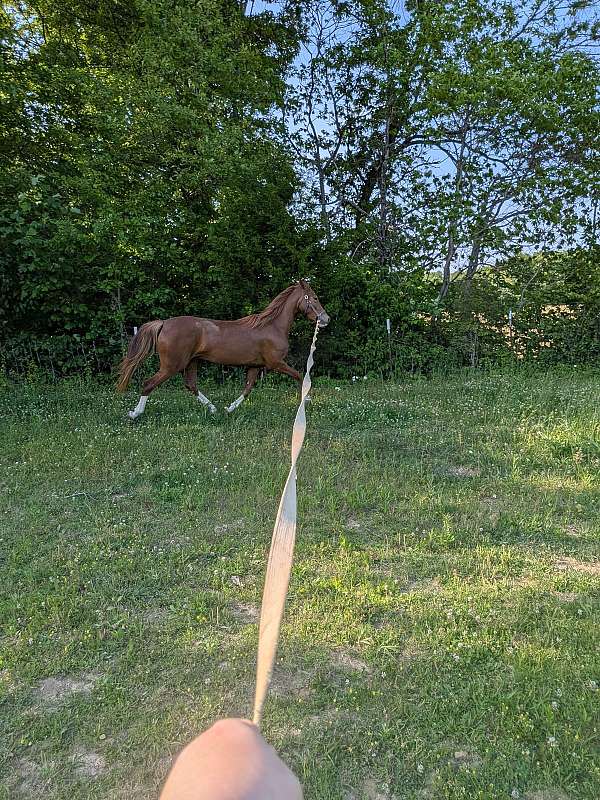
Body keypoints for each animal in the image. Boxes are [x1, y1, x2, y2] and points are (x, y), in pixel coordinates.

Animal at [116, 280, 330, 419]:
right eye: (315, 298)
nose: (326, 319)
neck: (272, 326)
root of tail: (163, 323)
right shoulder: (276, 363)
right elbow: (300, 376)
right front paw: (307, 400)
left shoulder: (255, 366)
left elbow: (247, 388)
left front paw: (229, 409)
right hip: (171, 366)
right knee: (148, 384)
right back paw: (135, 413)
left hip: (191, 362)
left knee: (191, 385)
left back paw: (213, 409)